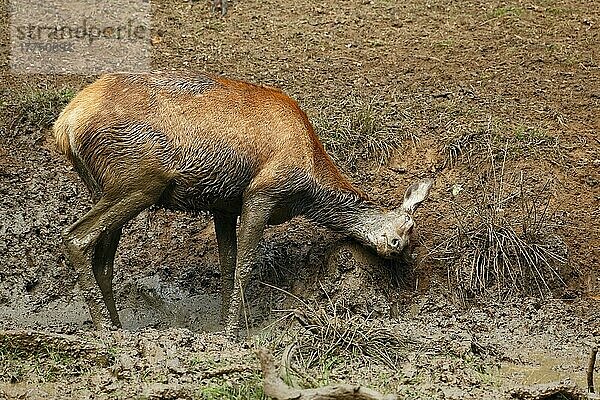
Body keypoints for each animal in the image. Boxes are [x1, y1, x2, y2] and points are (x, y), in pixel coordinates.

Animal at [52, 71, 432, 334]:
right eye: (407, 227)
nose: (399, 249)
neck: (308, 186)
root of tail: (64, 125)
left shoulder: (223, 204)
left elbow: (226, 263)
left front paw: (220, 325)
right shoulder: (261, 194)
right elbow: (245, 265)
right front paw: (232, 332)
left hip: (104, 186)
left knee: (103, 260)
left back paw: (117, 328)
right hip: (140, 181)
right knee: (75, 237)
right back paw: (103, 330)